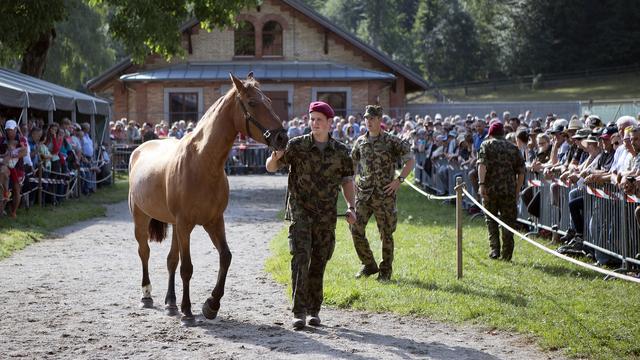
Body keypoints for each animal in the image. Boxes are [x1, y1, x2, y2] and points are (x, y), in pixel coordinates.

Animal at [127, 74, 288, 326]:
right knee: (144, 252)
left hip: (175, 225)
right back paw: (147, 295)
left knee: (171, 260)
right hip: (141, 218)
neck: (201, 162)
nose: (282, 137)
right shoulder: (186, 224)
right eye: (252, 103)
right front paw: (188, 311)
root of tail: (139, 149)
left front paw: (211, 305)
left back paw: (170, 302)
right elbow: (187, 268)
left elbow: (225, 257)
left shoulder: (213, 221)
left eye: (269, 101)